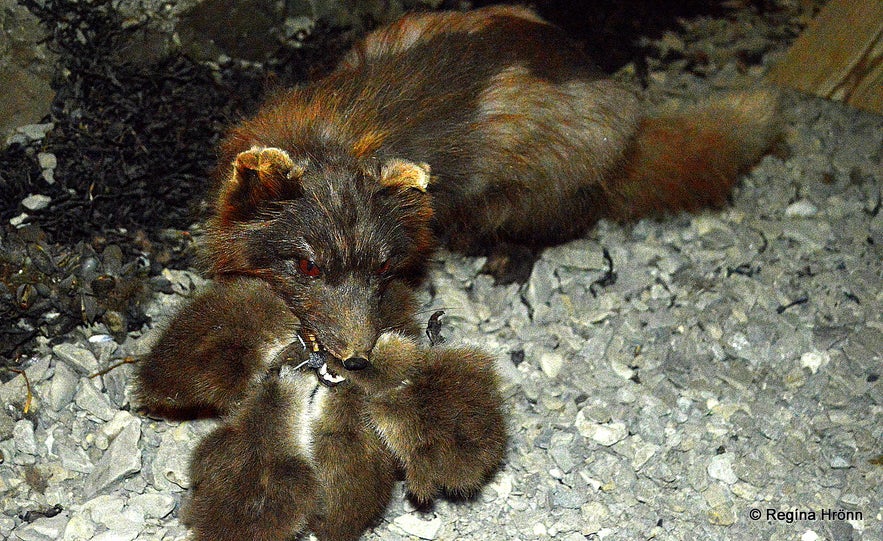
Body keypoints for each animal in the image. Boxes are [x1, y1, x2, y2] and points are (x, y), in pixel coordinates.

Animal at [135, 4, 776, 540]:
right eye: (307, 263)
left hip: (532, 198)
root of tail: (633, 137)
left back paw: (506, 261)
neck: (338, 133)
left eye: (382, 266)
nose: (357, 358)